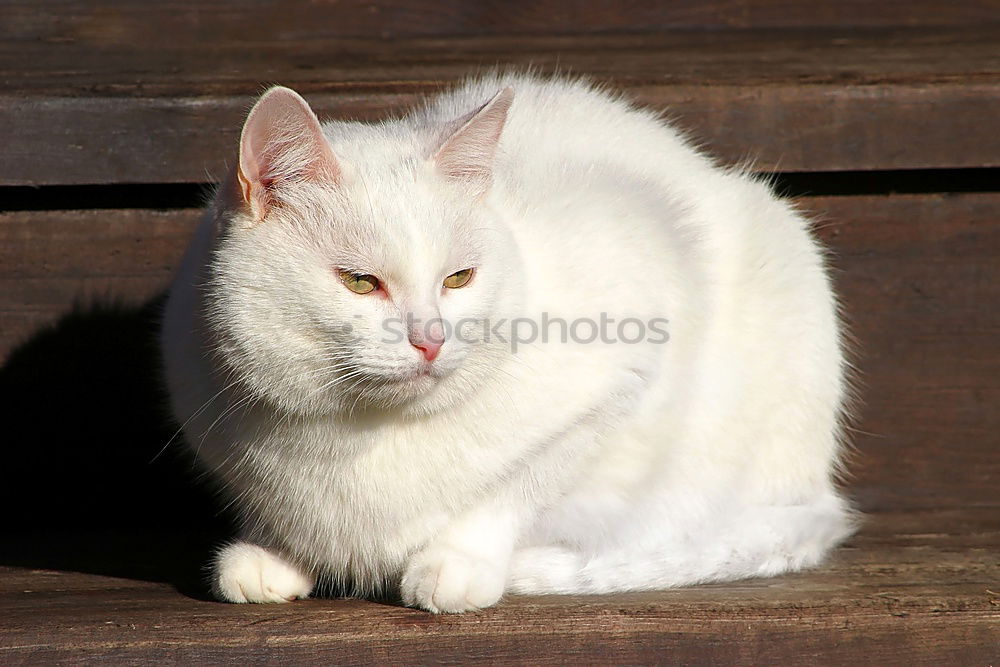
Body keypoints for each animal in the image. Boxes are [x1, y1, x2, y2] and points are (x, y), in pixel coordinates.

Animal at [160, 74, 856, 616]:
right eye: (360, 282)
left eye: (459, 278)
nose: (431, 341)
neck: (358, 438)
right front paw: (274, 552)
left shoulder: (626, 366)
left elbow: (515, 487)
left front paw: (456, 562)